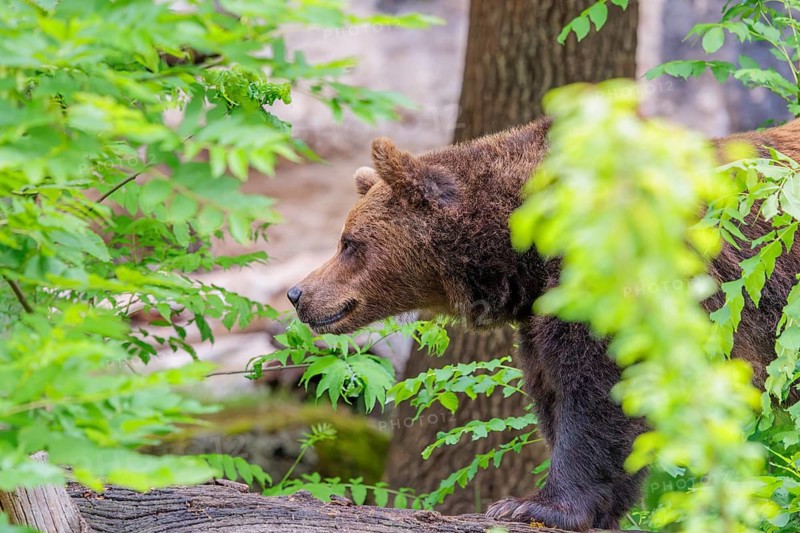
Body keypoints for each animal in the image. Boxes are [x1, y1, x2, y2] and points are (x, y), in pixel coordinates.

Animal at [287, 117, 800, 530]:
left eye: (349, 242)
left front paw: (534, 505)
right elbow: (553, 388)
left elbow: (601, 392)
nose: (298, 294)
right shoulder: (539, 314)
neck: (525, 246)